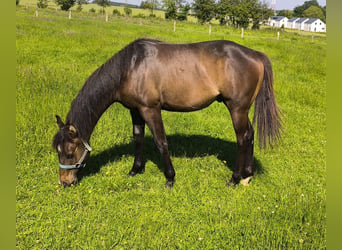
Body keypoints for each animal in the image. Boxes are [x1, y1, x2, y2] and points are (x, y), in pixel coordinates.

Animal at [51, 38, 280, 188]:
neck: (130, 67)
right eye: (57, 151)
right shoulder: (135, 110)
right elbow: (138, 138)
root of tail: (256, 55)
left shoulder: (150, 109)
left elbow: (161, 142)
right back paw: (247, 176)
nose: (65, 182)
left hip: (237, 109)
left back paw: (234, 178)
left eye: (70, 153)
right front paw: (135, 169)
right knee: (250, 135)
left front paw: (170, 178)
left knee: (242, 139)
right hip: (242, 110)